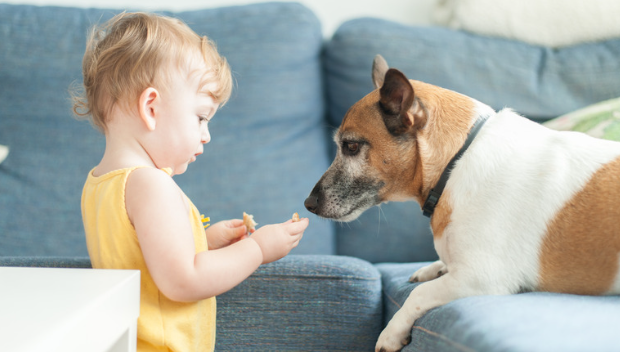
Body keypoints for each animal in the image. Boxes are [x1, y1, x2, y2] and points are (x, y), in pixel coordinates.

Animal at [306, 55, 620, 352]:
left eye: (351, 147)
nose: (308, 204)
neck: (456, 160)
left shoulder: (482, 277)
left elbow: (419, 294)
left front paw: (392, 332)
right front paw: (433, 267)